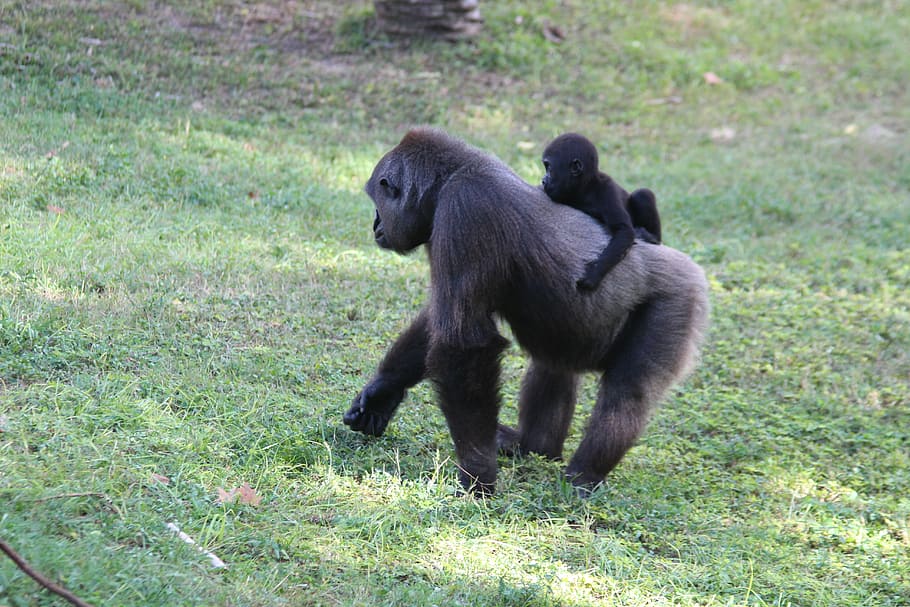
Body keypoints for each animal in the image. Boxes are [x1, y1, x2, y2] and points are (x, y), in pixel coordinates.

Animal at [542, 132, 662, 291]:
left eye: (549, 168)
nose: (543, 180)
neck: (585, 187)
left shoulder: (607, 191)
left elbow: (624, 231)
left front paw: (593, 275)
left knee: (642, 195)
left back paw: (652, 237)